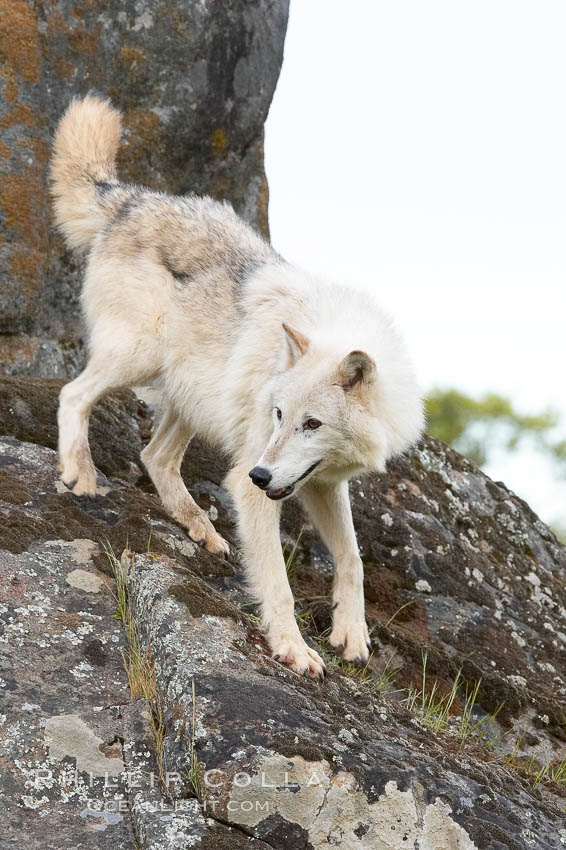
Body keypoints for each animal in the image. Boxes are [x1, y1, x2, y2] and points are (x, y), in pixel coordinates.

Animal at [51, 94, 424, 676]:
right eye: (279, 416)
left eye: (311, 423)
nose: (259, 473)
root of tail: (134, 199)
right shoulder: (254, 488)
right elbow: (279, 584)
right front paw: (293, 648)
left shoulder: (321, 482)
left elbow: (353, 558)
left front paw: (351, 633)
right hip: (142, 359)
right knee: (73, 395)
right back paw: (80, 472)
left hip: (192, 396)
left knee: (155, 456)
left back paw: (200, 529)